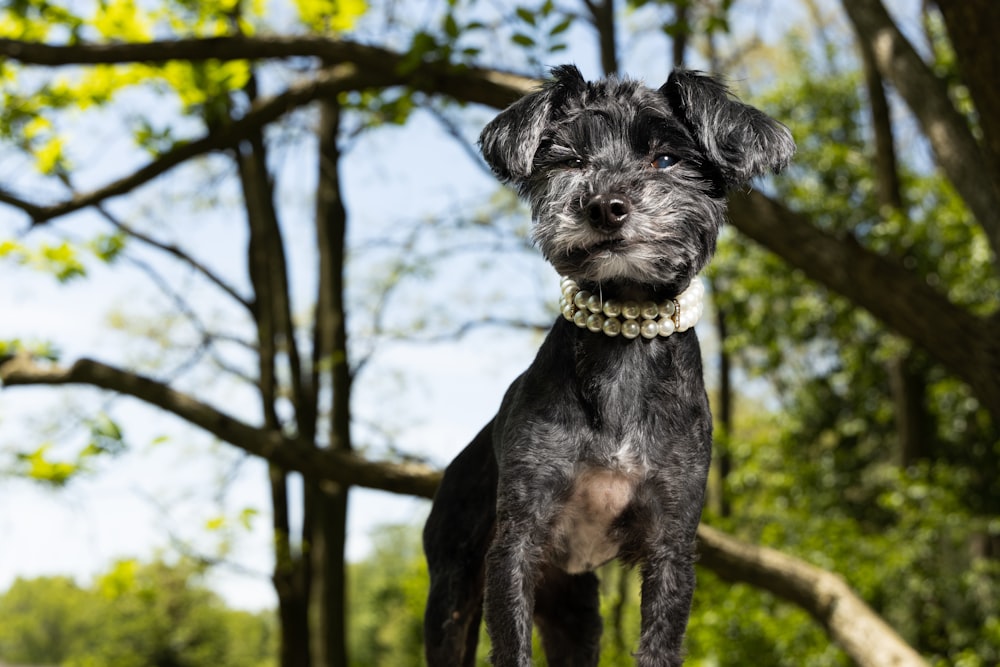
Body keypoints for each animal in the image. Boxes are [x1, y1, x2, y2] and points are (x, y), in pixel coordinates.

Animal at [424, 65, 796, 664]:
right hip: (453, 598)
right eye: (572, 160)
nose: (604, 205)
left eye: (664, 159)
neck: (625, 340)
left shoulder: (671, 546)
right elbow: (512, 646)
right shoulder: (515, 545)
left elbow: (659, 644)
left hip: (575, 615)